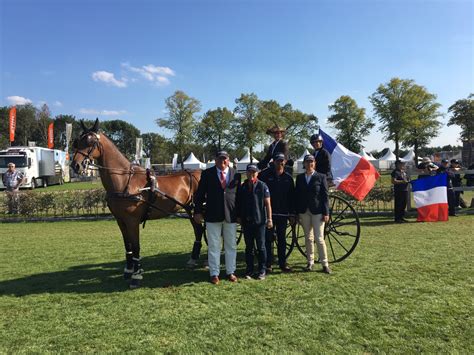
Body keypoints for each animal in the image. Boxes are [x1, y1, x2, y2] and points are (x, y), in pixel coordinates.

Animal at [70, 119, 204, 290]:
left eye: (91, 142)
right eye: (77, 142)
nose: (76, 166)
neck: (124, 180)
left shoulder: (132, 221)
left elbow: (136, 246)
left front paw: (136, 275)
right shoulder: (120, 221)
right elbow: (127, 245)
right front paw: (128, 270)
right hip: (190, 209)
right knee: (198, 229)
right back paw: (193, 259)